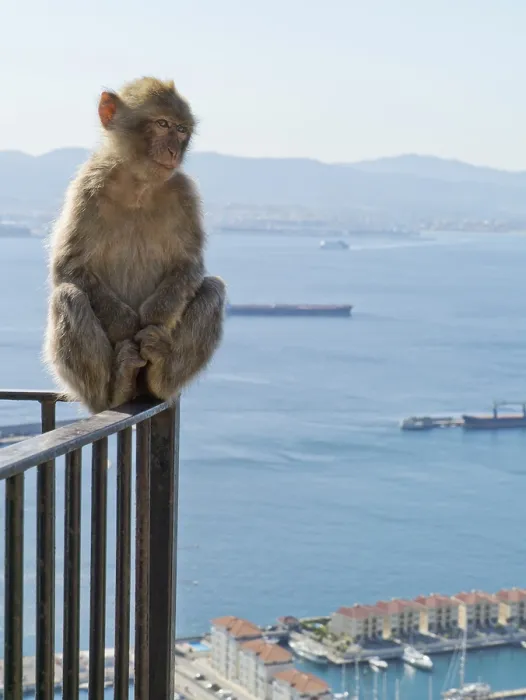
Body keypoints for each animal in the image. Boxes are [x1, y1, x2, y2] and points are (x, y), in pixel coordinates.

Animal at [44, 77, 226, 413]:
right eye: (162, 124)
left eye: (182, 129)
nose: (174, 151)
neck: (139, 184)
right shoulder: (88, 184)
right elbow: (69, 266)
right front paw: (128, 326)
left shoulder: (185, 192)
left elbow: (189, 265)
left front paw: (153, 317)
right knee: (68, 295)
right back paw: (117, 388)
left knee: (213, 289)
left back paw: (161, 377)